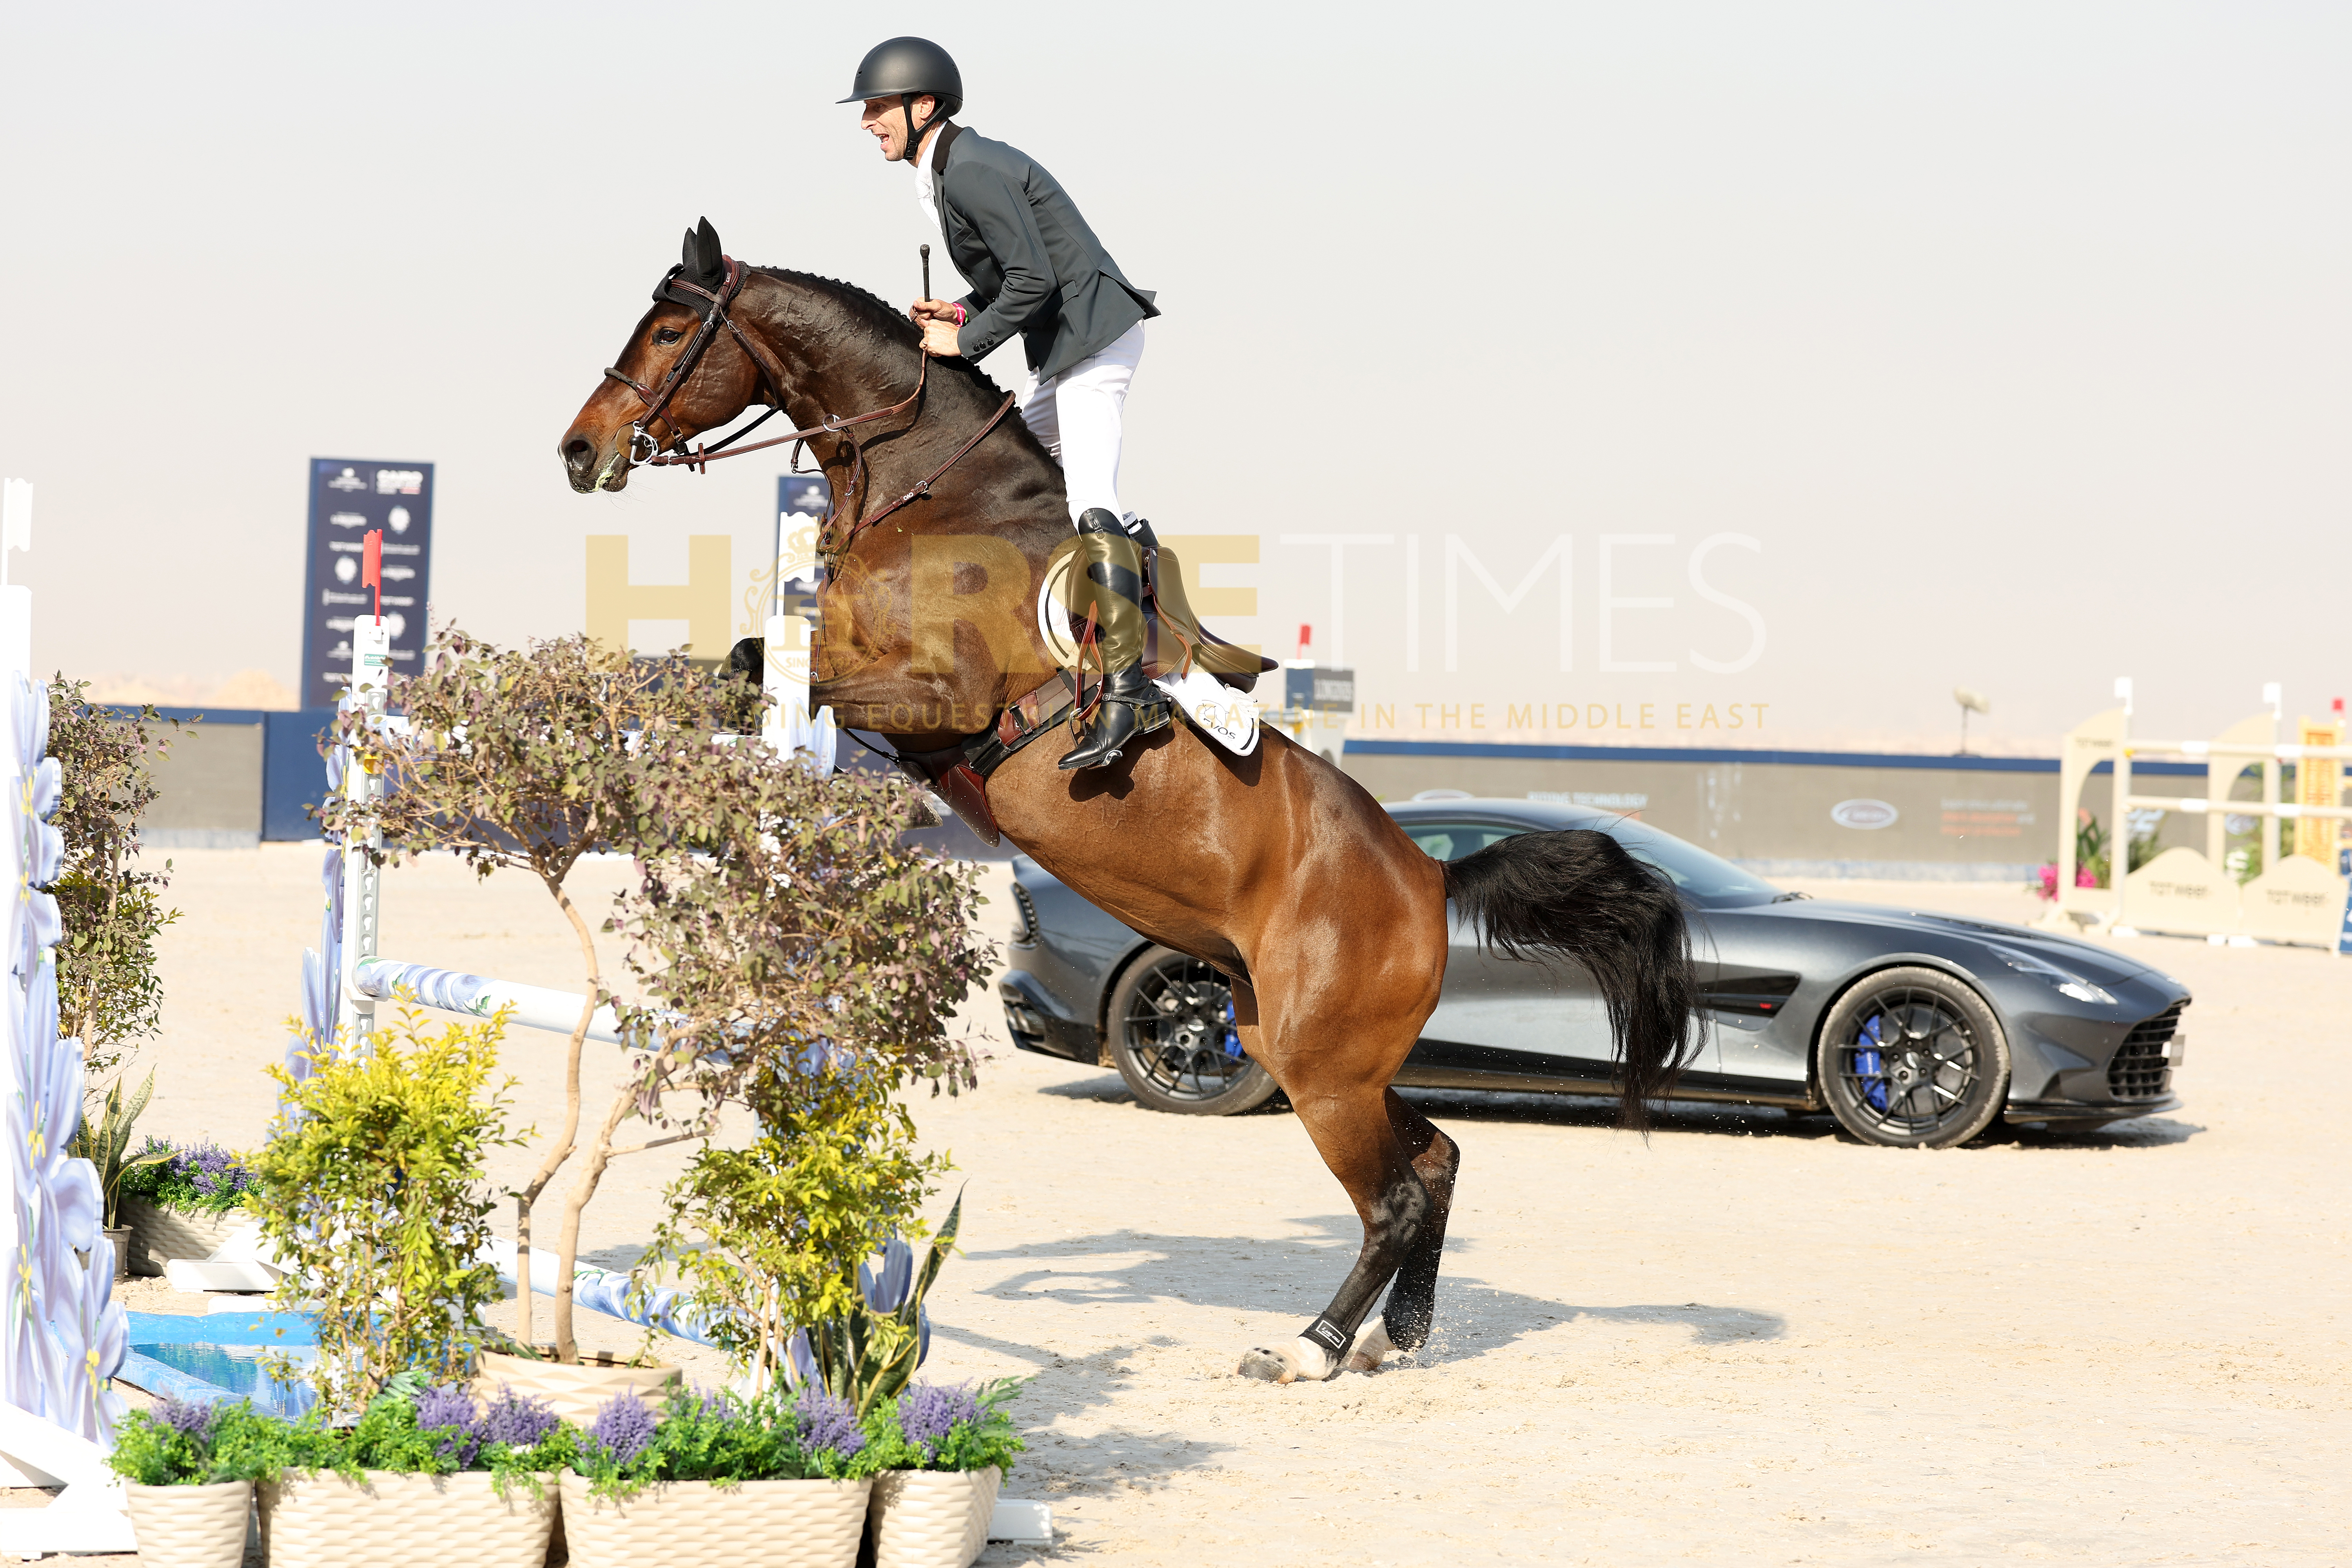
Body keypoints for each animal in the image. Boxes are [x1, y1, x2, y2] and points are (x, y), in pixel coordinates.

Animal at [558, 220, 1698, 1383]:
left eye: (668, 329)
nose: (578, 450)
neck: (931, 493)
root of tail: (1431, 874)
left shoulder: (938, 698)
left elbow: (769, 678)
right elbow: (736, 667)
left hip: (1320, 1066)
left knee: (1390, 1196)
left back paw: (1311, 1347)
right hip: (1304, 1043)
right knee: (1437, 1160)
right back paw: (1395, 1337)